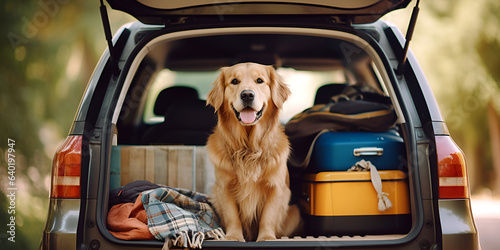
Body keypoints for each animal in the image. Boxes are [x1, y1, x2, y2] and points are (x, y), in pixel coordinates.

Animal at [206, 61, 300, 241]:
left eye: (260, 81)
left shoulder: (276, 188)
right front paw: (234, 237)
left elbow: (268, 216)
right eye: (234, 81)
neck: (248, 148)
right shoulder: (224, 187)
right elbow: (232, 215)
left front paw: (266, 237)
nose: (247, 95)